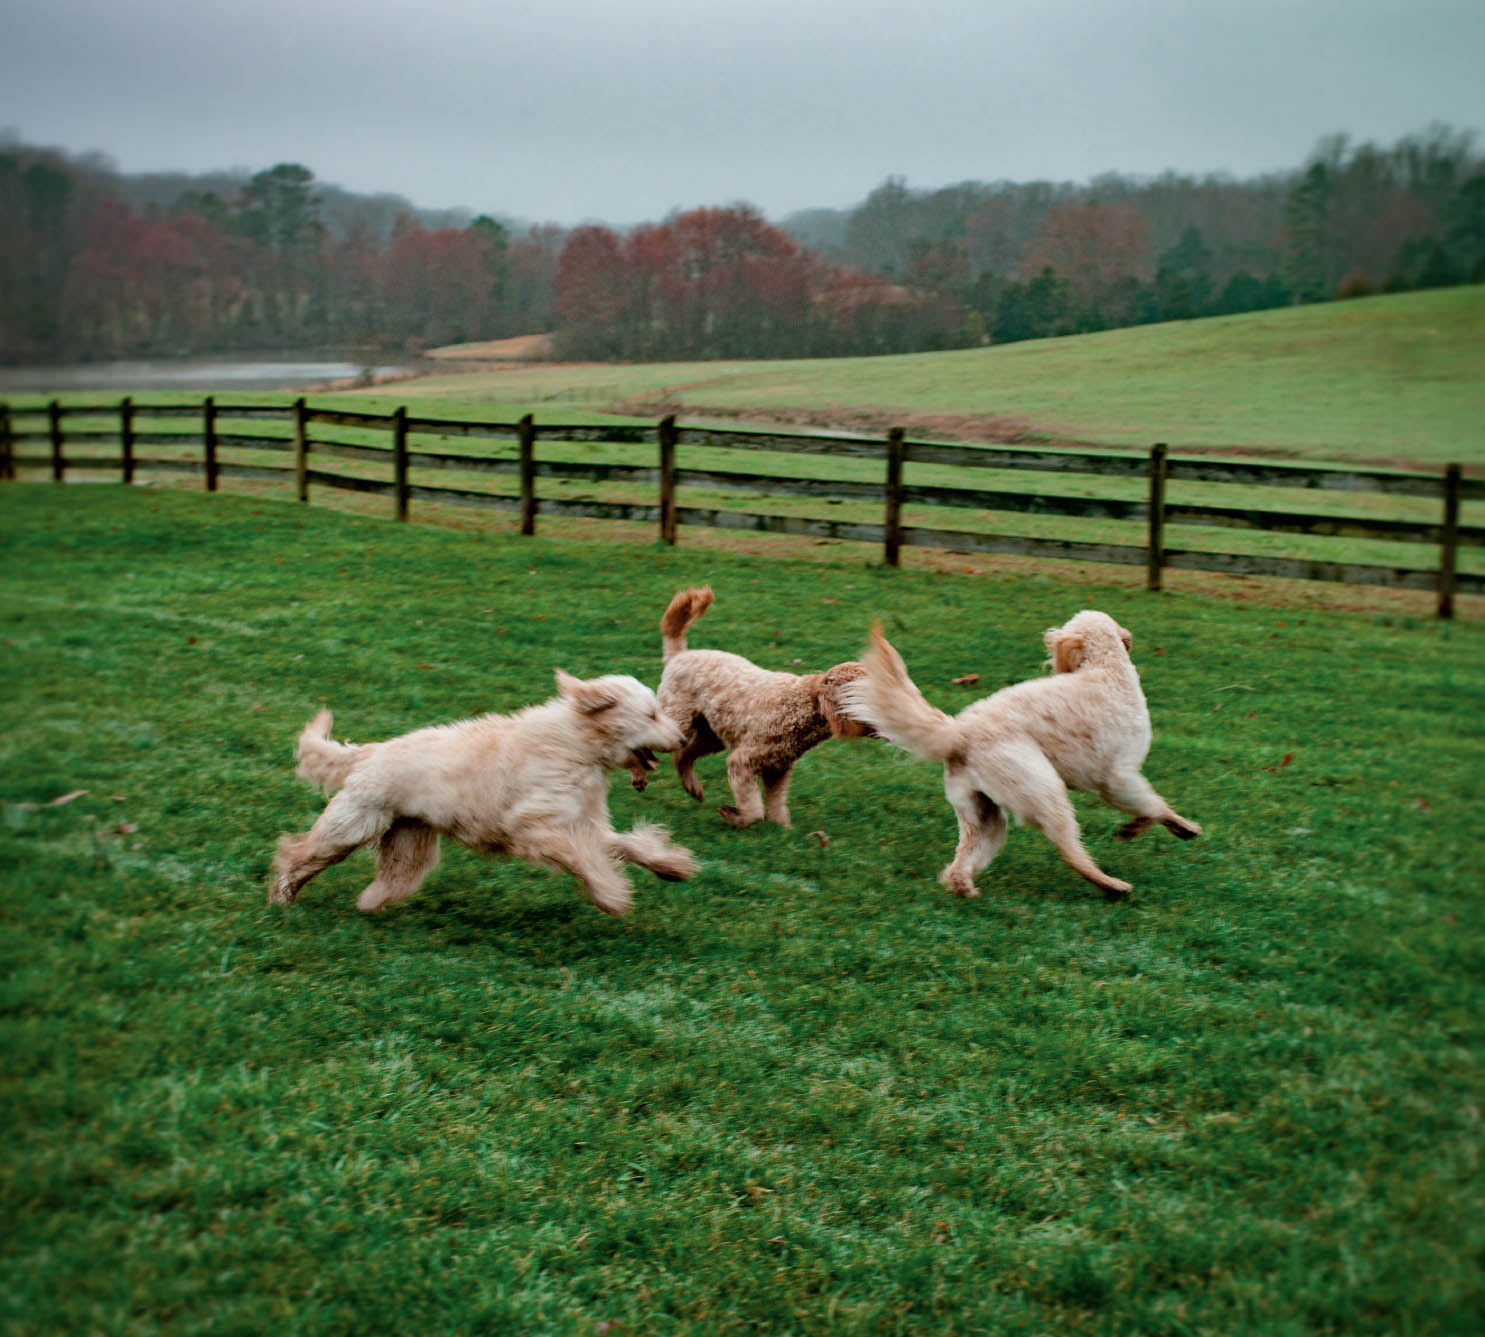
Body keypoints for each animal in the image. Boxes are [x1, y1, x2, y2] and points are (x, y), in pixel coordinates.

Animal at [270, 674, 697, 915]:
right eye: (651, 715)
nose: (682, 738)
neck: (576, 745)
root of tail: (370, 751)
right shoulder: (537, 830)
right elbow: (586, 860)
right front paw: (611, 895)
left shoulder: (581, 823)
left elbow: (626, 845)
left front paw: (671, 865)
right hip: (350, 826)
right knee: (297, 854)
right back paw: (282, 898)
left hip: (409, 840)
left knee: (393, 878)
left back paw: (370, 904)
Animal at [641, 585, 879, 825]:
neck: (802, 705)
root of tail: (679, 655)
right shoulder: (742, 762)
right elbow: (754, 810)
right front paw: (734, 815)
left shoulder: (778, 769)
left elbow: (776, 807)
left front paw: (779, 828)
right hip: (677, 722)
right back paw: (641, 775)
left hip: (711, 736)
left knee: (683, 755)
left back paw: (692, 787)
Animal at [843, 615, 1199, 897]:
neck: (1106, 666)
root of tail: (959, 733)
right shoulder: (1118, 778)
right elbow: (1154, 806)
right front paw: (1171, 827)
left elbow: (1153, 807)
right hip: (1043, 790)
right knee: (1070, 850)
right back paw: (1112, 886)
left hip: (984, 815)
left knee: (960, 864)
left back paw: (964, 887)